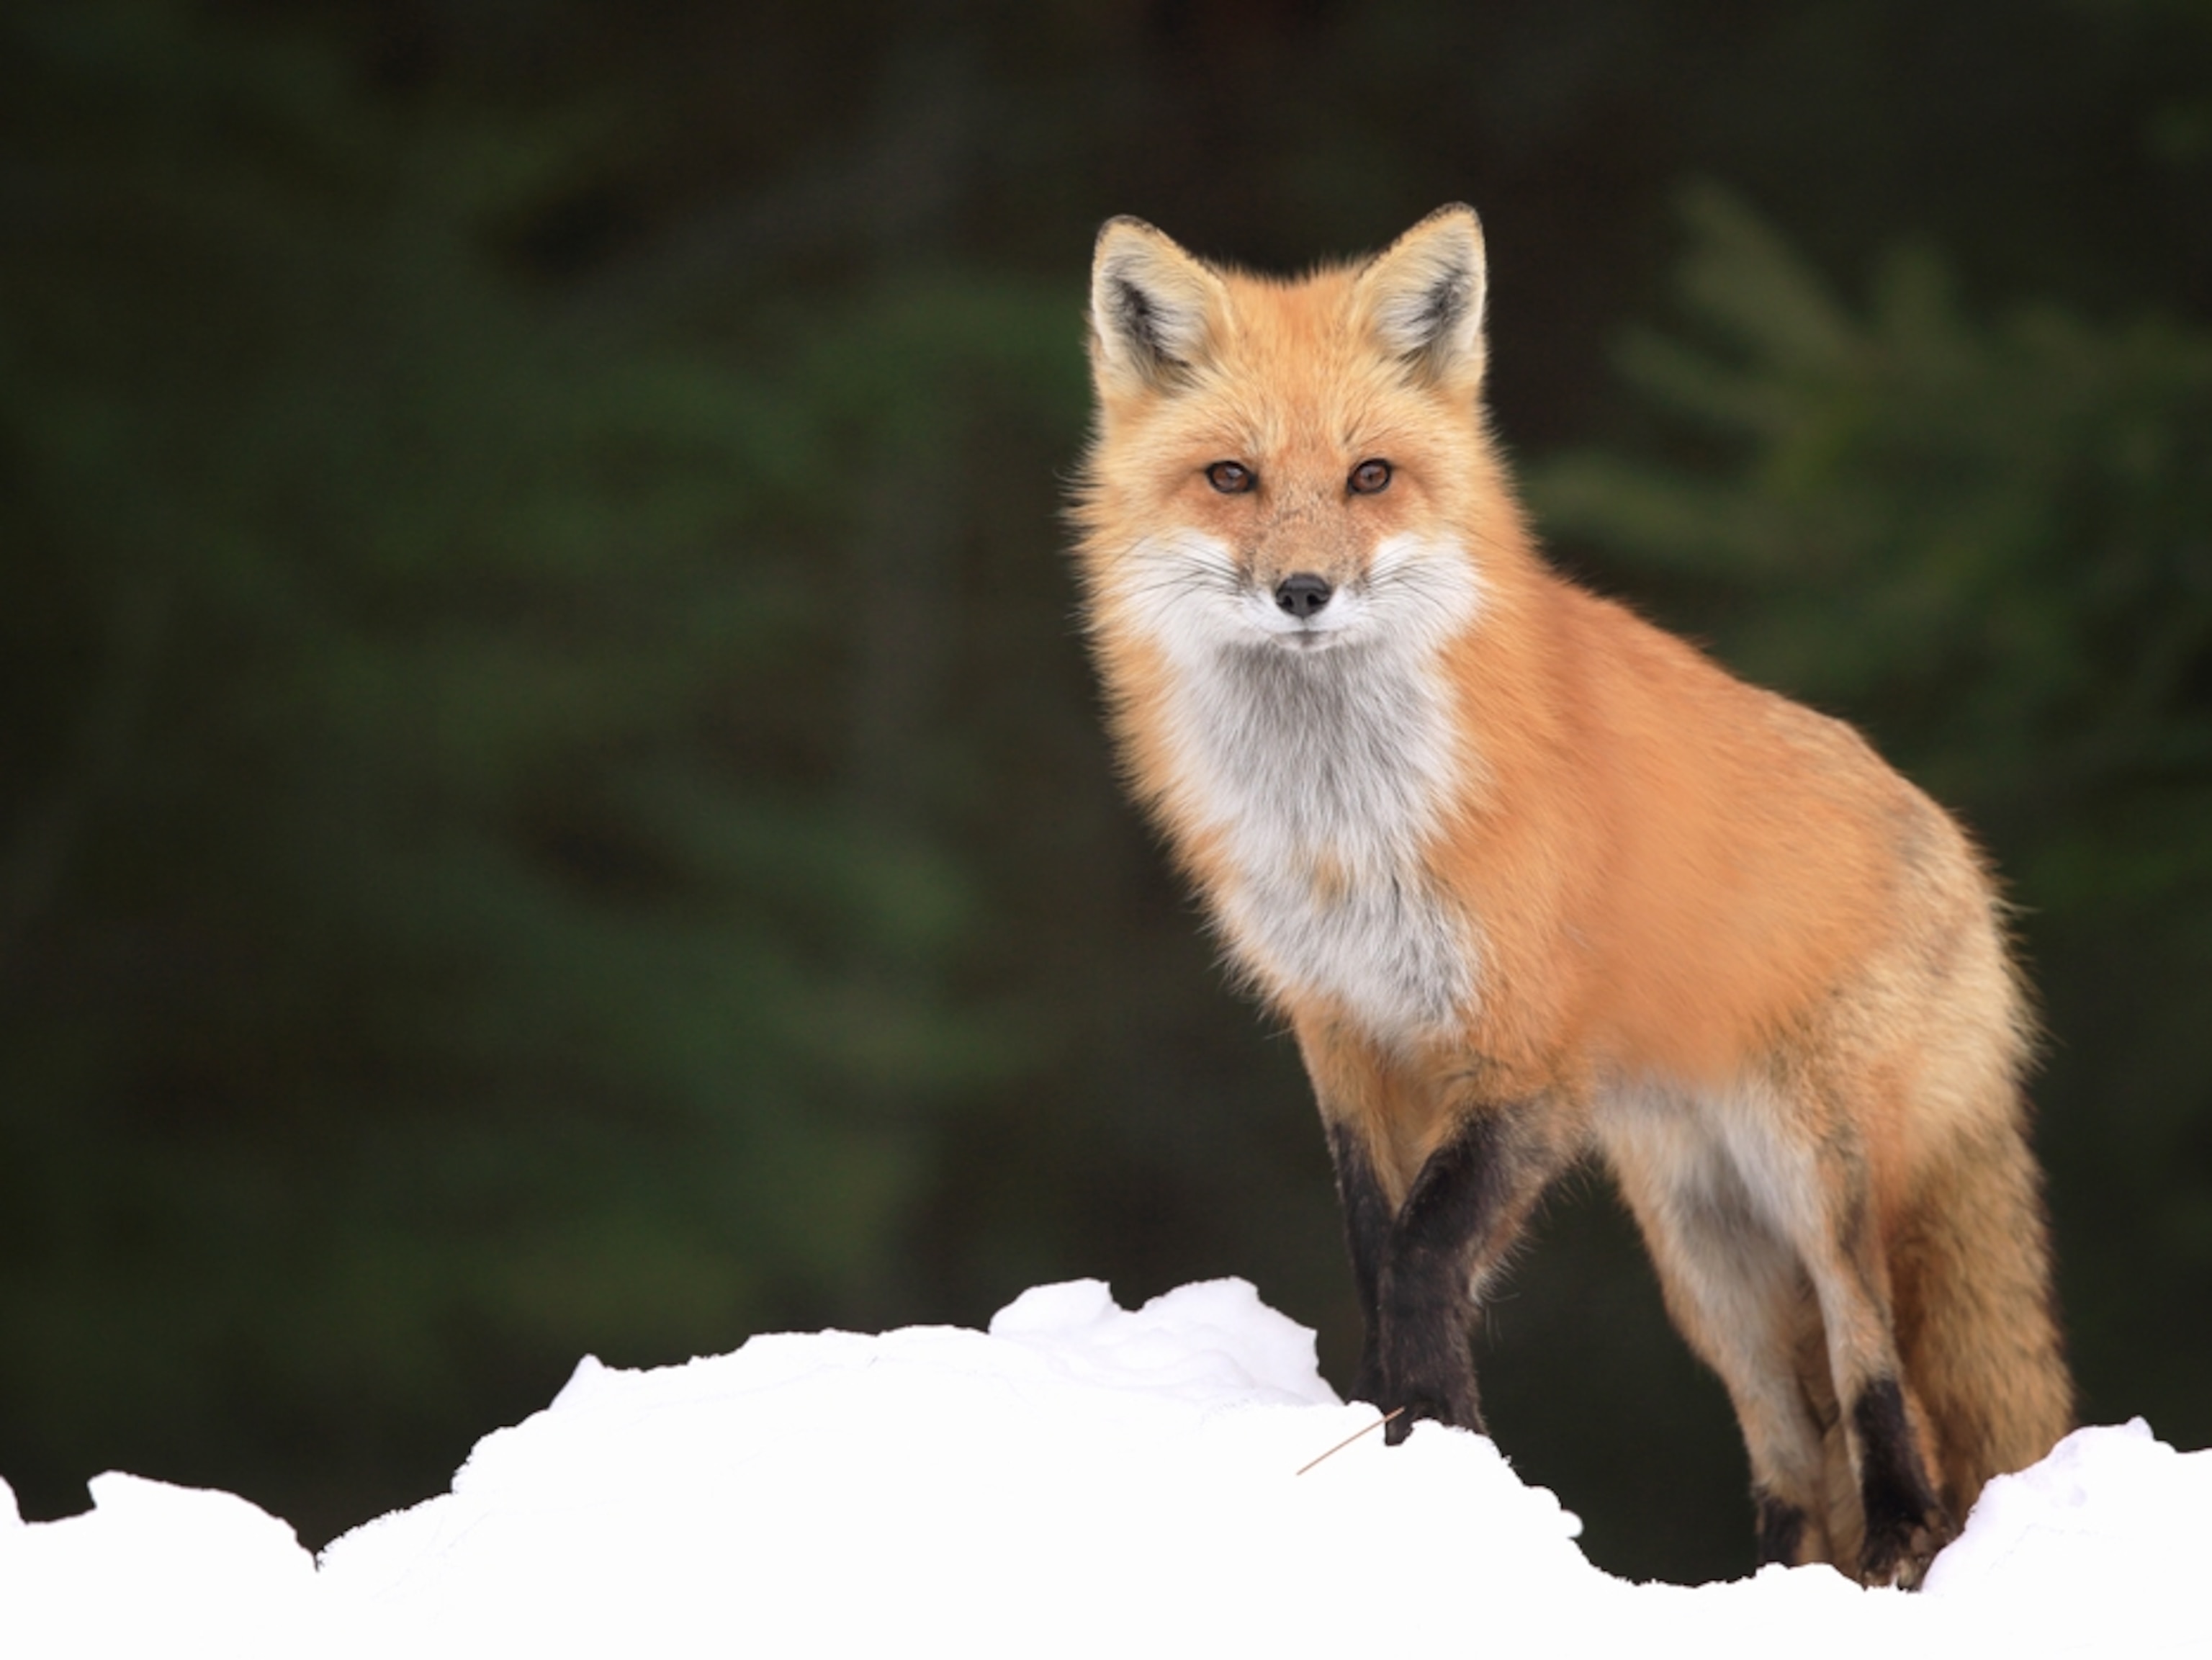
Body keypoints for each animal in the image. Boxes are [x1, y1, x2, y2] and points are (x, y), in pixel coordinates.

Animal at [1068, 205, 2073, 1586]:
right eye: (1231, 479)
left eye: (1370, 477)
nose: (1303, 594)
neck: (1348, 826)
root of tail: (1962, 853)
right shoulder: (1343, 1031)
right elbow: (1377, 1250)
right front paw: (1406, 1445)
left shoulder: (1526, 1056)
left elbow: (1427, 1257)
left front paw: (1438, 1445)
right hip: (1706, 1257)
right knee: (1790, 1453)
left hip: (1818, 1182)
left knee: (1882, 1386)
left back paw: (1901, 1546)